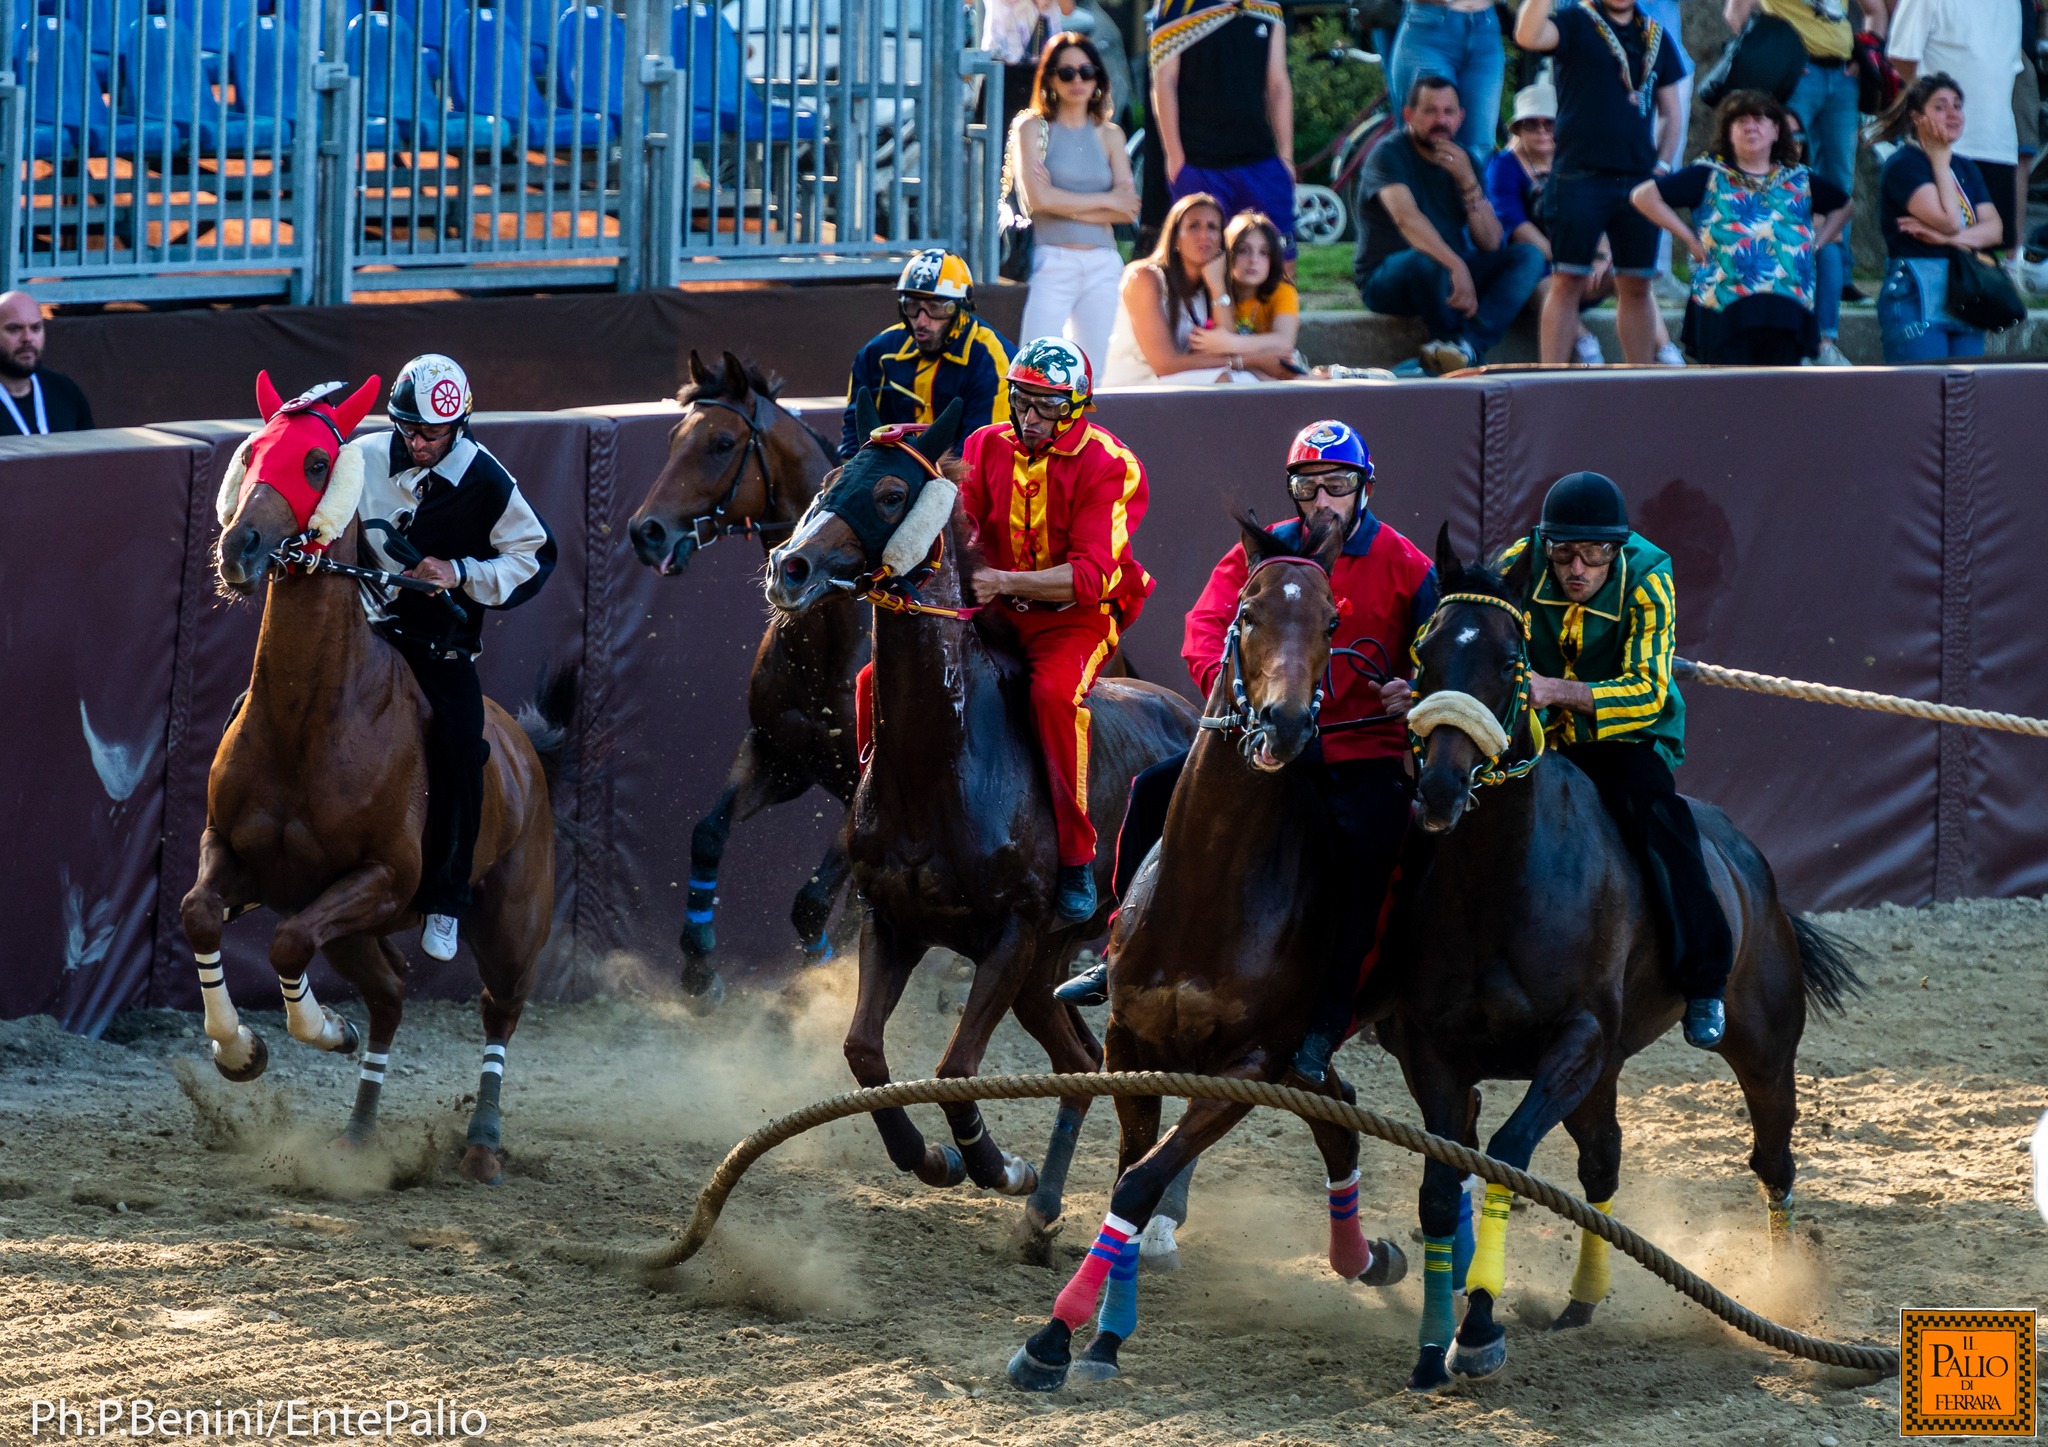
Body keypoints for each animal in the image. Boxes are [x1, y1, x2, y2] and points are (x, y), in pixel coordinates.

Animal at [184, 376, 565, 1187]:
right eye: (252, 453)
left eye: (318, 461)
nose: (240, 547)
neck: (310, 718)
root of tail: (526, 752)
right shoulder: (236, 853)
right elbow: (203, 915)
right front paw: (243, 1049)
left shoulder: (386, 877)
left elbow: (288, 943)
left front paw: (323, 1027)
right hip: (359, 932)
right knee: (389, 997)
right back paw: (358, 1132)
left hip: (511, 920)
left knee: (499, 1010)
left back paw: (482, 1140)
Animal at [761, 401, 1196, 1228]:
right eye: (828, 482)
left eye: (892, 493)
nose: (789, 567)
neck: (947, 765)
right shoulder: (891, 919)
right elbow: (865, 1053)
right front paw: (931, 1156)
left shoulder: (1012, 931)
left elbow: (956, 1065)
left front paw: (995, 1162)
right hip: (1048, 970)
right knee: (1082, 1061)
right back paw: (1050, 1208)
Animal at [1003, 515, 1409, 1399]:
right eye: (1246, 613)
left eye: (1332, 621)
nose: (1284, 726)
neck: (1214, 893)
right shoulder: (1131, 1043)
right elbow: (1131, 1168)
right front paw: (1095, 1332)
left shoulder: (1248, 1067)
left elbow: (1143, 1178)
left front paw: (1059, 1335)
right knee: (1339, 1122)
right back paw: (1367, 1258)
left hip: (1303, 1056)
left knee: (1345, 1121)